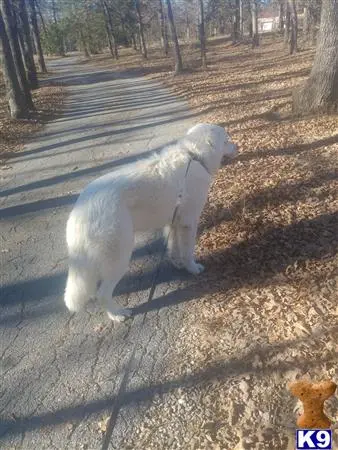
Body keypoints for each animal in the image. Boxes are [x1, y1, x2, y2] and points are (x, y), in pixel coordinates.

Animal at [64, 123, 236, 320]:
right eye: (227, 140)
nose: (237, 147)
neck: (194, 156)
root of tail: (82, 209)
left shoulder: (174, 222)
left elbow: (173, 246)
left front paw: (177, 263)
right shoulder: (188, 223)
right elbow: (187, 251)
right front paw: (192, 268)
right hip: (120, 256)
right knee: (103, 293)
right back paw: (117, 315)